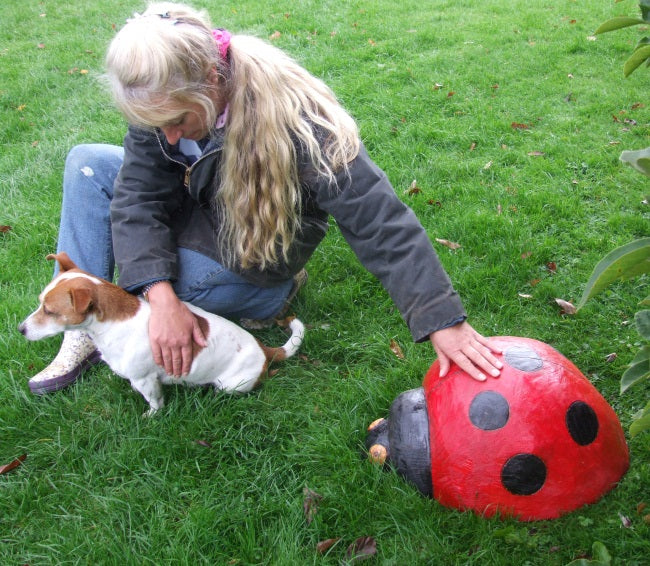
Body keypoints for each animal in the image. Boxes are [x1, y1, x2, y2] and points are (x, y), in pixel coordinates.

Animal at [19, 255, 306, 414]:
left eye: (50, 311)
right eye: (40, 302)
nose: (21, 329)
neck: (114, 324)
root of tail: (264, 350)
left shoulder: (147, 380)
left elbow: (155, 402)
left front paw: (152, 416)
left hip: (231, 384)